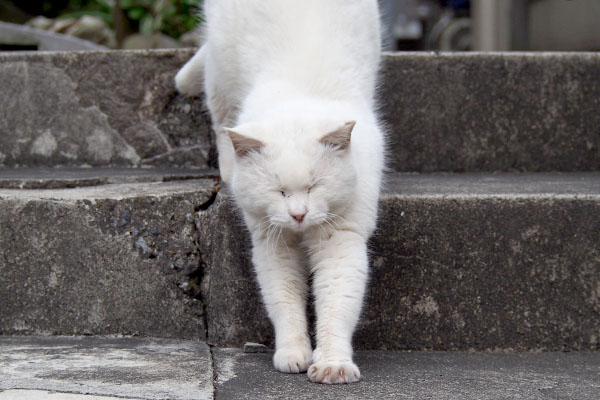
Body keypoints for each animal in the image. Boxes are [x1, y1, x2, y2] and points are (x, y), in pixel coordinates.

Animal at [177, 0, 384, 384]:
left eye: (316, 185)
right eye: (278, 191)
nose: (299, 214)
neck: (302, 94)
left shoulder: (341, 239)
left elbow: (337, 304)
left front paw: (332, 365)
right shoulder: (271, 244)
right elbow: (284, 301)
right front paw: (292, 354)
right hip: (221, 71)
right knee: (222, 123)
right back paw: (228, 169)